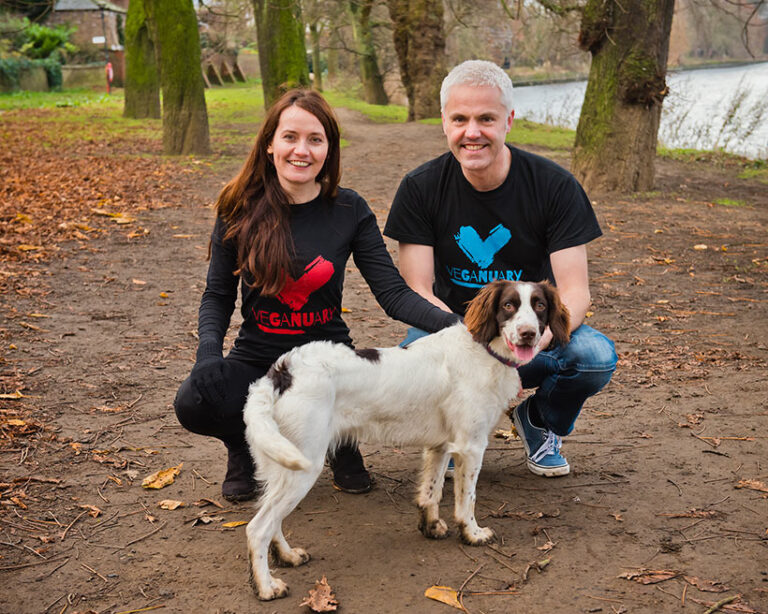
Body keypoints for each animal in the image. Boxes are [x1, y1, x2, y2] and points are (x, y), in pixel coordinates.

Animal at [243, 282, 568, 600]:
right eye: (508, 305)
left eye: (540, 305)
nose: (528, 334)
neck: (483, 350)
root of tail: (282, 371)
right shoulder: (470, 447)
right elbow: (467, 499)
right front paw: (473, 534)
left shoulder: (441, 446)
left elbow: (431, 492)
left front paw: (432, 527)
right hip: (303, 465)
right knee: (258, 528)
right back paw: (267, 587)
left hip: (281, 466)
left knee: (272, 521)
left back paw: (287, 556)